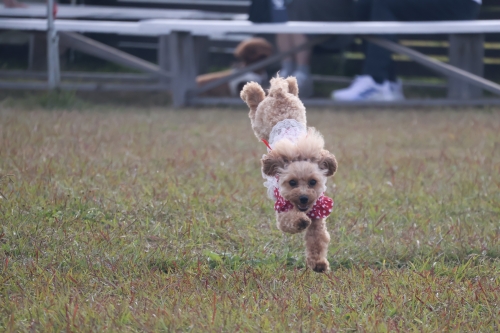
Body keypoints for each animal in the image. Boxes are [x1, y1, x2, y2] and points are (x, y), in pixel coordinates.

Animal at [240, 76, 338, 272]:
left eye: (313, 182)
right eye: (292, 182)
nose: (304, 198)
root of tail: (280, 94)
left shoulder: (318, 214)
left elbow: (317, 240)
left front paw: (318, 264)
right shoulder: (282, 207)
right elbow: (290, 220)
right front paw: (301, 221)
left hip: (299, 109)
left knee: (288, 89)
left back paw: (291, 85)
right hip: (260, 123)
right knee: (256, 106)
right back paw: (252, 90)